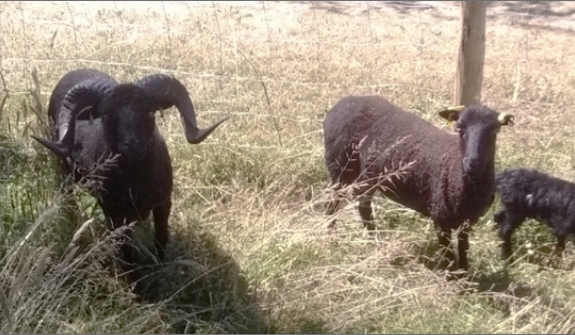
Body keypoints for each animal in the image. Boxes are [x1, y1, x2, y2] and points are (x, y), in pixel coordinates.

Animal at [32, 68, 227, 262]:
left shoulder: (163, 203)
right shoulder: (112, 212)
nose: (132, 147)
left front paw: (160, 264)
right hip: (63, 171)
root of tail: (76, 70)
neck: (137, 181)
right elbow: (124, 246)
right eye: (106, 115)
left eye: (150, 112)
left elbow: (161, 237)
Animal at [322, 96, 516, 272]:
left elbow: (463, 248)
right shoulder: (440, 218)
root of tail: (344, 101)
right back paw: (331, 237)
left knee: (363, 205)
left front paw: (465, 273)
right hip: (339, 167)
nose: (472, 163)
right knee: (333, 202)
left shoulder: (467, 221)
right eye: (460, 127)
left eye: (495, 129)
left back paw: (373, 239)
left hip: (367, 176)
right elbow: (448, 253)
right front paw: (452, 278)